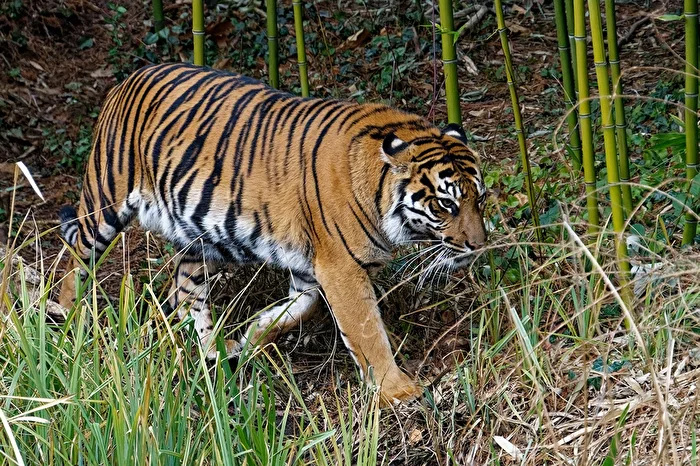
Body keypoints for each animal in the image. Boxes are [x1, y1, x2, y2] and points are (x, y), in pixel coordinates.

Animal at [58, 62, 487, 404]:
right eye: (445, 204)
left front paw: (254, 335)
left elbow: (301, 308)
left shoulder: (312, 268)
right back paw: (65, 319)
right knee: (75, 253)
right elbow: (367, 330)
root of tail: (129, 77)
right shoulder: (341, 268)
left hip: (197, 239)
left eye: (479, 199)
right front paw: (398, 390)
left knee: (184, 292)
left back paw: (213, 347)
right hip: (105, 200)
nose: (478, 246)